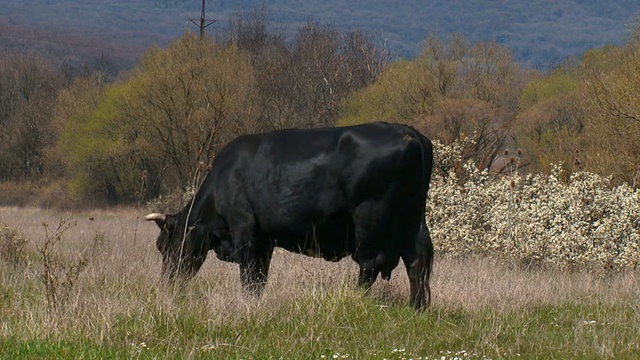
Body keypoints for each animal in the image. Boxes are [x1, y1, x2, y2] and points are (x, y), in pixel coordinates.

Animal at [145, 121, 436, 310]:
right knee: (417, 261)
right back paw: (416, 309)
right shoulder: (264, 240)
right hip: (414, 222)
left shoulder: (244, 228)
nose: (167, 284)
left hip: (370, 221)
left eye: (163, 245)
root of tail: (408, 132)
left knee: (370, 264)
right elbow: (259, 276)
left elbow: (248, 273)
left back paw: (357, 299)